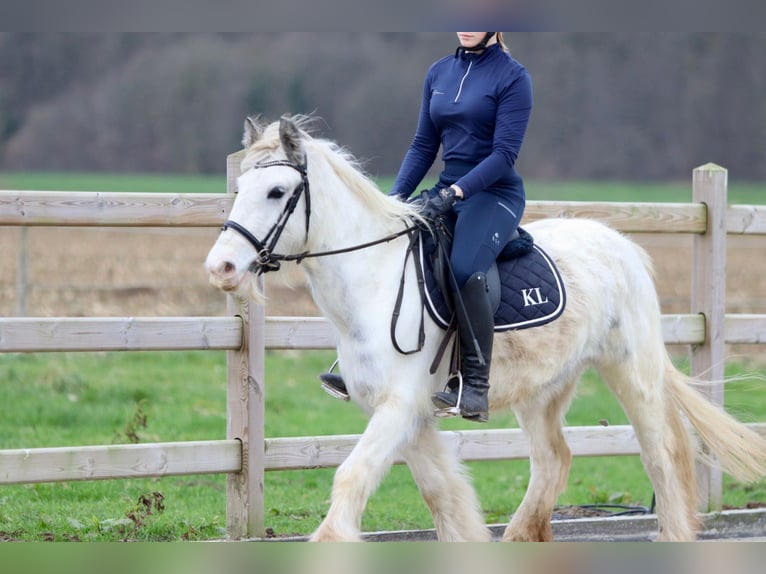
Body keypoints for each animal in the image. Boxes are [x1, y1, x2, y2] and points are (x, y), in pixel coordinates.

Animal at [207, 117, 766, 544]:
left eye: (277, 191)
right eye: (240, 190)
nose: (222, 268)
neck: (375, 280)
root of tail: (619, 242)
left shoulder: (399, 407)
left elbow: (354, 476)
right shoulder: (408, 413)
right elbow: (441, 491)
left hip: (632, 372)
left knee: (660, 454)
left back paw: (673, 534)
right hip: (543, 388)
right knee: (553, 459)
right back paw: (521, 536)